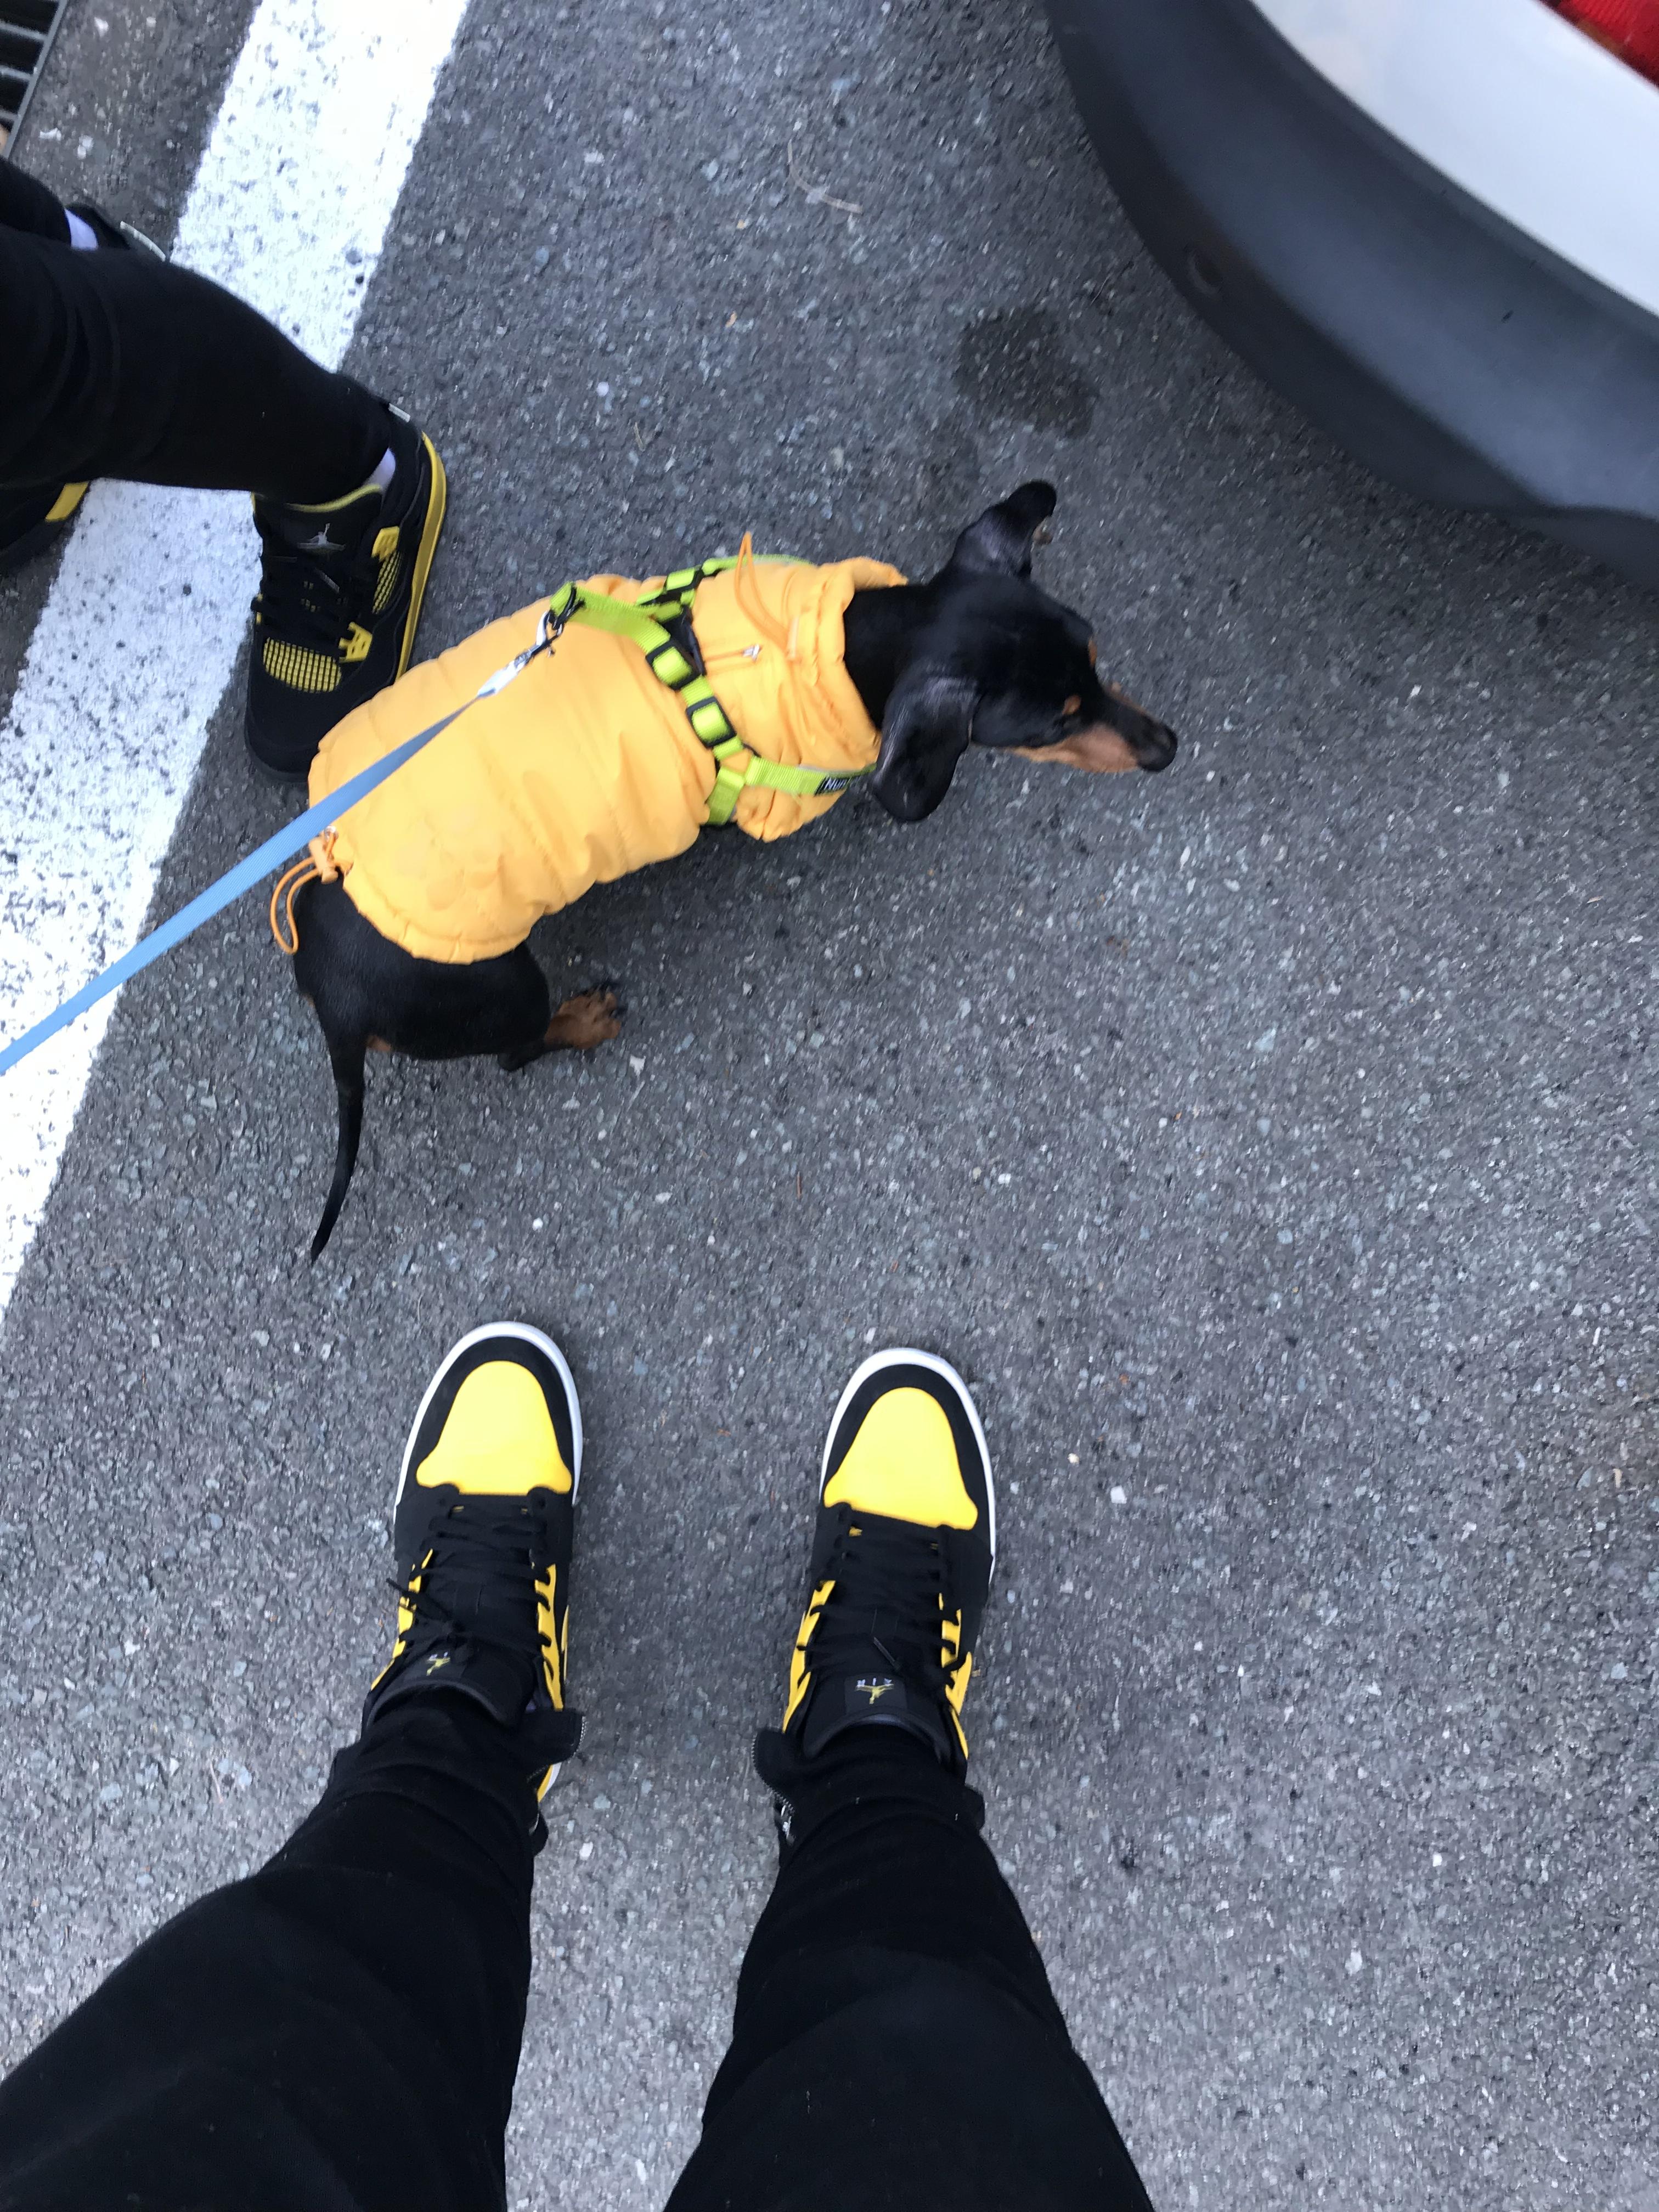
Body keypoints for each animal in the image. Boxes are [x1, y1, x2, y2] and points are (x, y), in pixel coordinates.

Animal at [282, 481, 1176, 1257]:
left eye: (1096, 659)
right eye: (1050, 726)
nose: (1167, 750)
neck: (831, 644)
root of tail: (334, 997)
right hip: (503, 989)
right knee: (517, 1048)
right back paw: (585, 1019)